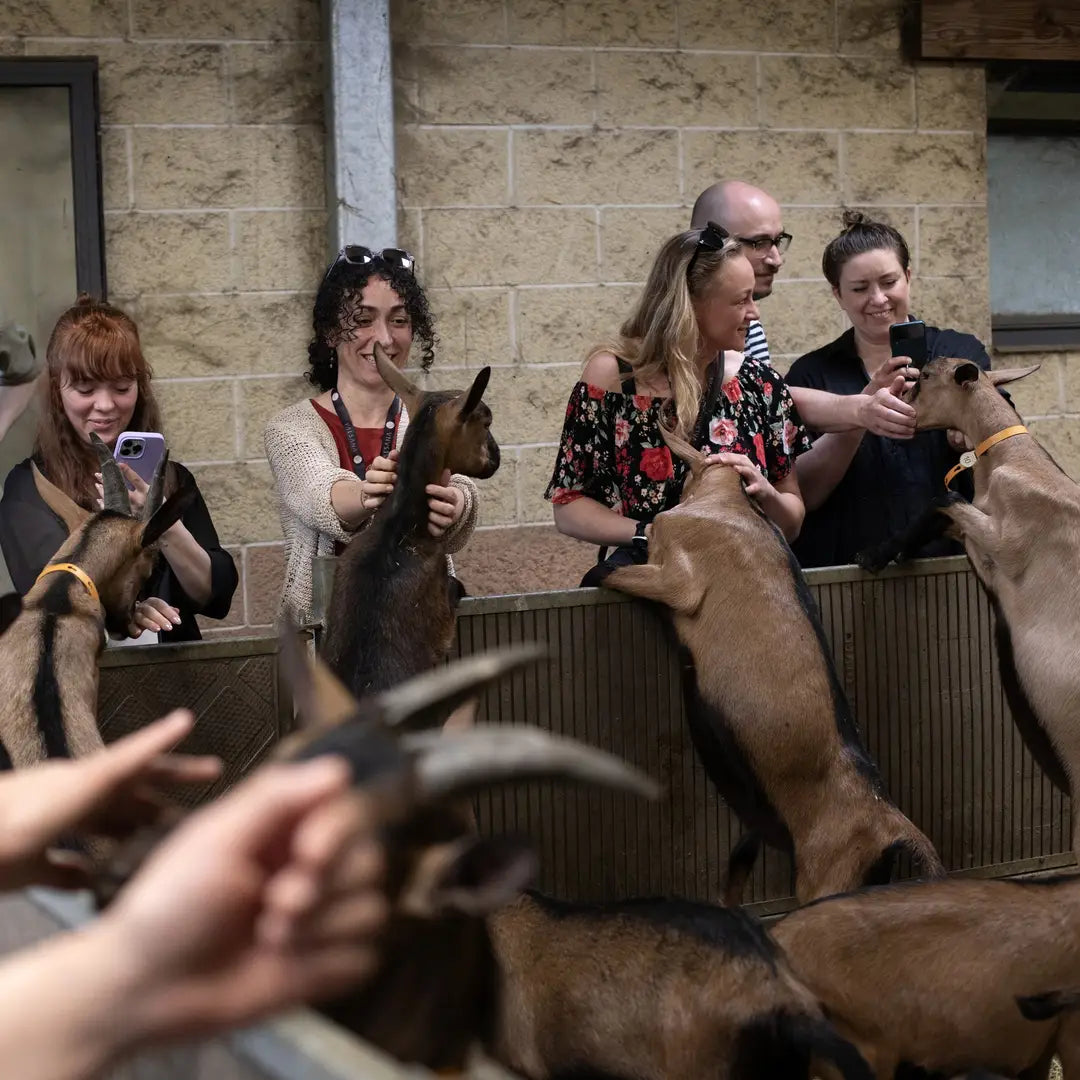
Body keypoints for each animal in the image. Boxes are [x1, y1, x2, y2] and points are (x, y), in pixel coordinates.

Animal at [859, 358, 1080, 855]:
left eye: (922, 378)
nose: (901, 408)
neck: (1014, 461)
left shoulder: (1003, 544)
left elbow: (944, 499)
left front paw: (874, 553)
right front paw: (891, 550)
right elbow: (941, 509)